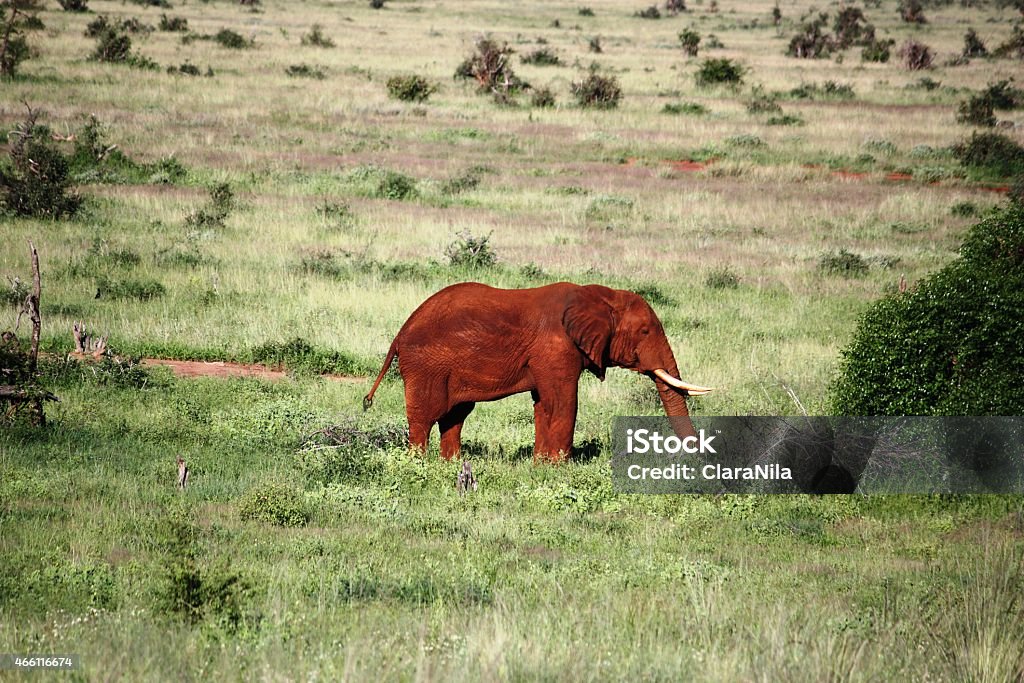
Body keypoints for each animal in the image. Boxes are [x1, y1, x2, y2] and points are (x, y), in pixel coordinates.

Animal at [362, 280, 712, 462]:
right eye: (644, 332)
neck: (598, 295)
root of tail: (400, 333)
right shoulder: (556, 349)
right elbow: (563, 402)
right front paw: (559, 467)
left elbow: (545, 404)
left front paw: (541, 464)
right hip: (426, 365)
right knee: (426, 416)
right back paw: (418, 464)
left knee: (454, 416)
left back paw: (453, 464)